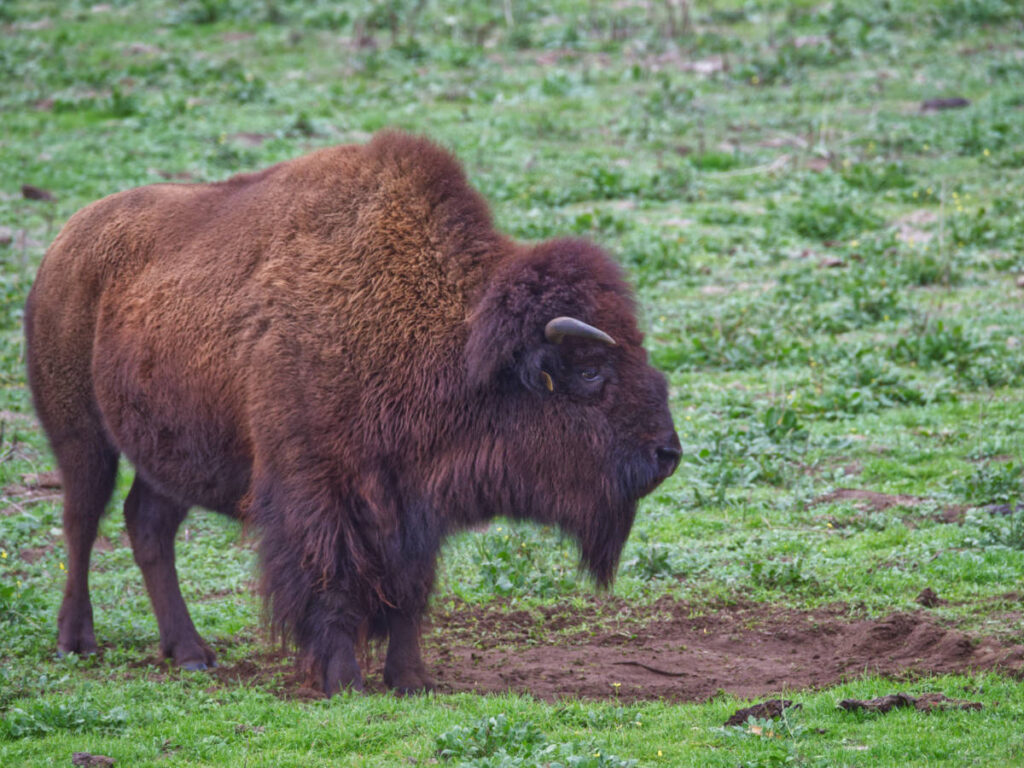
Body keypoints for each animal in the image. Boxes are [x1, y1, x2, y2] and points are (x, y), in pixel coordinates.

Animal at [25, 131, 680, 694]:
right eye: (590, 372)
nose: (667, 453)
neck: (454, 342)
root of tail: (64, 245)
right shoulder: (320, 491)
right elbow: (333, 584)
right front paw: (344, 681)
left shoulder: (413, 506)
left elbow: (408, 592)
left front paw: (411, 681)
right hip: (81, 434)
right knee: (82, 520)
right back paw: (77, 641)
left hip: (171, 452)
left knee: (147, 524)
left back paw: (190, 653)